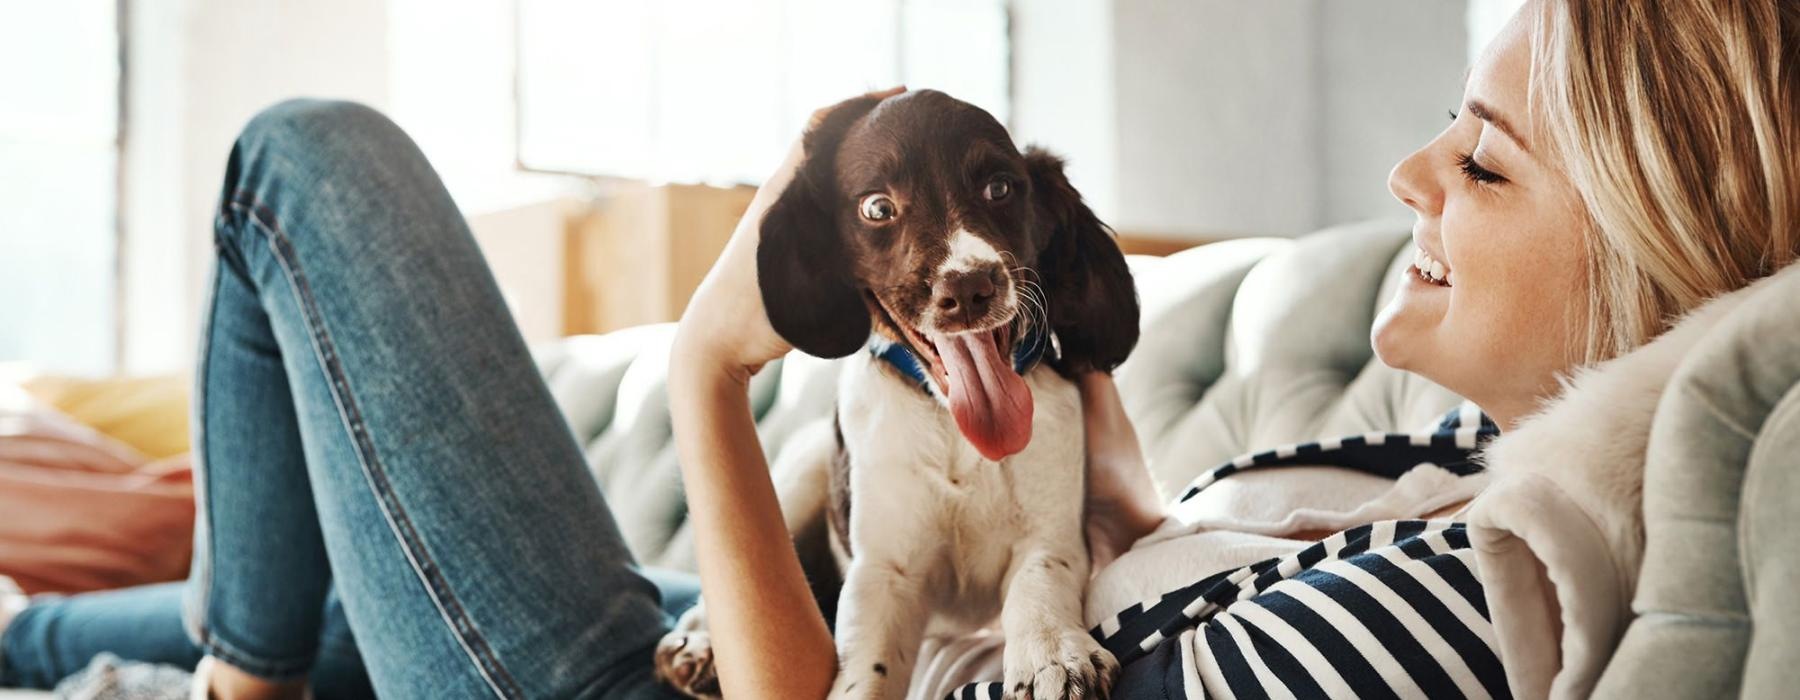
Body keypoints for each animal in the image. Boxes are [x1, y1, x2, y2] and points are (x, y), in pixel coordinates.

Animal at [658, 89, 1137, 698]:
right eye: (878, 208)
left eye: (1000, 188)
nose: (969, 287)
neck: (951, 424)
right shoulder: (885, 573)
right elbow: (868, 669)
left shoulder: (1052, 538)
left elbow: (1039, 586)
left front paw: (1052, 653)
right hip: (802, 469)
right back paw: (697, 642)